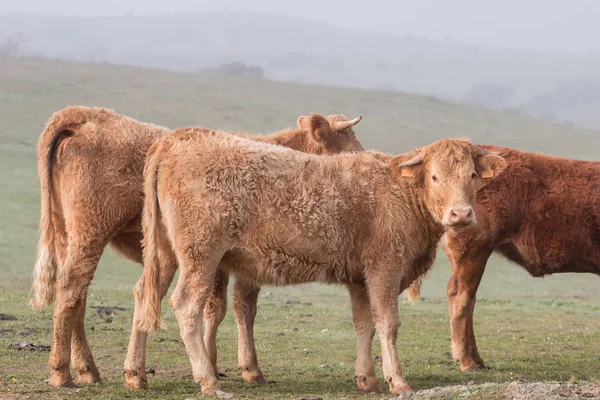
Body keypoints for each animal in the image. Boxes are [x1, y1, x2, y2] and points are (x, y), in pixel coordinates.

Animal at [30, 105, 360, 388]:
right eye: (352, 150)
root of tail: (80, 116)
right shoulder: (246, 260)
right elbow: (238, 307)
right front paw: (242, 368)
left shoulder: (225, 262)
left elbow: (217, 308)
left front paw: (212, 363)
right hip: (92, 231)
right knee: (72, 287)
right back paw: (62, 372)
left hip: (71, 235)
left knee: (78, 297)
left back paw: (90, 369)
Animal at [136, 130, 506, 396]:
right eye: (434, 177)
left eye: (473, 175)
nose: (461, 214)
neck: (400, 192)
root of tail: (177, 138)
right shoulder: (384, 267)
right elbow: (388, 322)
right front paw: (397, 380)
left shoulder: (359, 279)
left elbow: (364, 324)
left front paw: (367, 378)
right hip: (201, 254)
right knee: (186, 305)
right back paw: (208, 380)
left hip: (165, 253)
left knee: (144, 295)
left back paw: (136, 374)